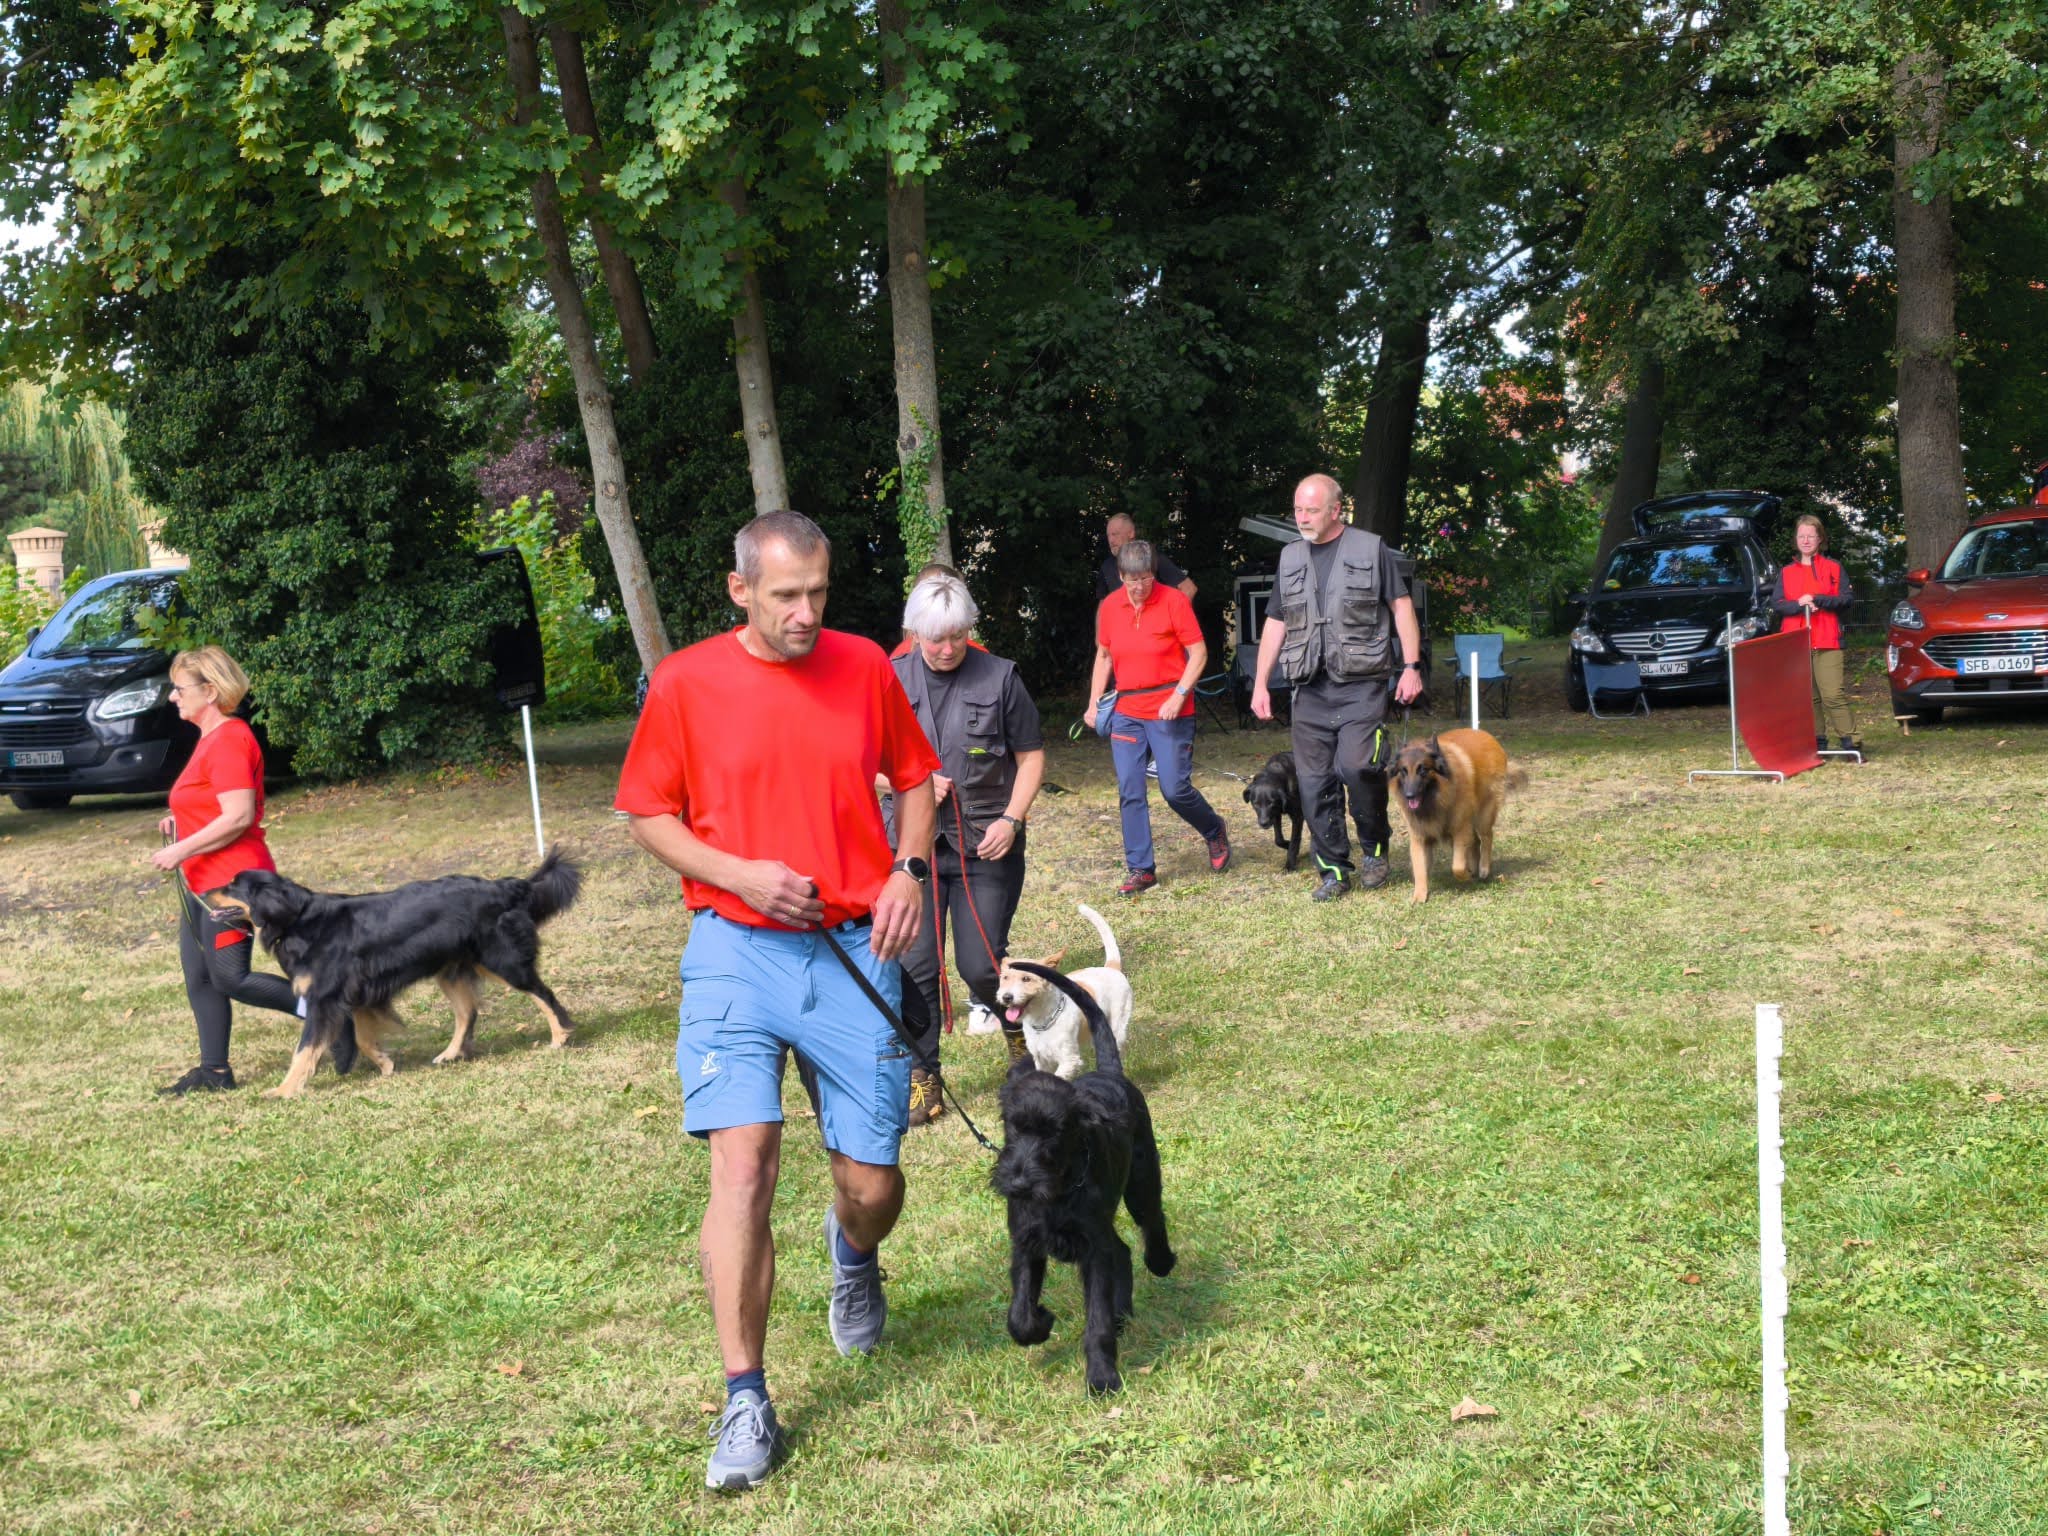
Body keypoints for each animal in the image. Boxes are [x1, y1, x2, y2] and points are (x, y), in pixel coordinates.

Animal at [217, 851, 581, 1097]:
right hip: (451, 970)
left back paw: (560, 1036)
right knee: (468, 1013)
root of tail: (506, 886)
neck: (298, 920)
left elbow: (304, 1049)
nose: (205, 892)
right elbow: (363, 1039)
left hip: (502, 961)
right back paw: (451, 1054)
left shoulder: (323, 999)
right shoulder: (358, 994)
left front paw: (284, 1090)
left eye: (232, 887)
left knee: (543, 994)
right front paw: (385, 1064)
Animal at [992, 962, 1175, 1394]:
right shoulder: (1027, 1242)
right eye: (1013, 1126)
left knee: (1151, 1222)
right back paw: (1124, 1313)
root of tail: (1110, 1073)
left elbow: (1097, 1320)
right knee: (1122, 1251)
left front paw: (1102, 1376)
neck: (1059, 1190)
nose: (1019, 1184)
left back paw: (1160, 1262)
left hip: (1141, 1182)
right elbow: (1018, 1313)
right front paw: (1040, 1322)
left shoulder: (1093, 1250)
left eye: (1055, 1133)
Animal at [994, 904, 1133, 1079]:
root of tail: (1111, 967)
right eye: (1005, 978)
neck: (1043, 1020)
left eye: (1026, 978)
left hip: (1117, 1025)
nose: (1006, 997)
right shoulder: (1040, 1060)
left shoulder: (1069, 1060)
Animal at [1389, 729, 1527, 903]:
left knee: (1487, 837)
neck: (1436, 798)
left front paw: (1466, 875)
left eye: (1423, 770)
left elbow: (1457, 867)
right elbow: (1419, 868)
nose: (1409, 795)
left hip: (1483, 816)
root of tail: (1486, 735)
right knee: (1476, 841)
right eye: (1403, 771)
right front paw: (1419, 895)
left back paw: (1483, 868)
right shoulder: (1419, 837)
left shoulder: (1460, 830)